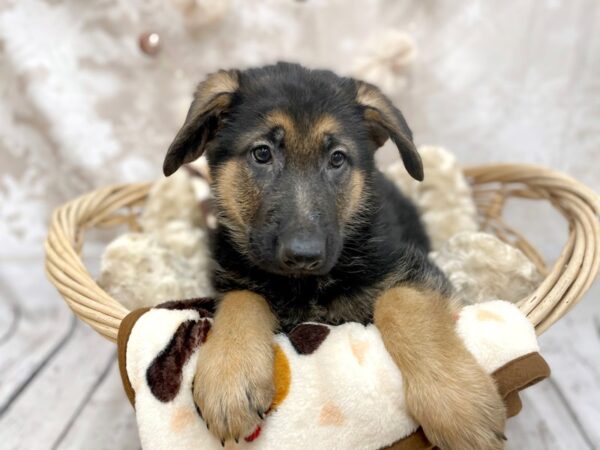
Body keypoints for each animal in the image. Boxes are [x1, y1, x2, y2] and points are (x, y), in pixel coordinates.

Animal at [162, 61, 504, 448]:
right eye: (262, 153)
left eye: (337, 158)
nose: (303, 254)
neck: (304, 286)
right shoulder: (231, 276)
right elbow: (243, 299)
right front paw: (229, 375)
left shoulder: (417, 269)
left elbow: (399, 301)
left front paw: (457, 403)